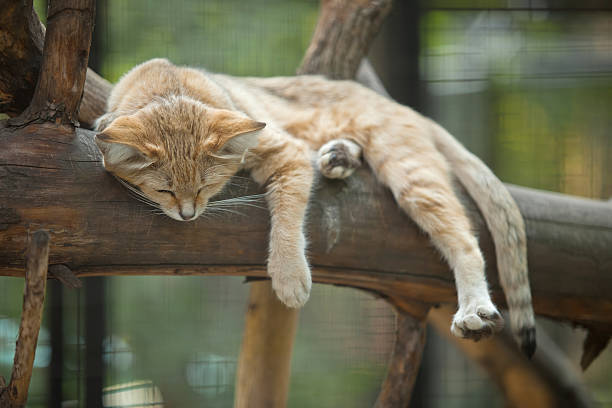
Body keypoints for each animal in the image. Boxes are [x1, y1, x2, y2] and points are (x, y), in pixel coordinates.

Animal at [94, 57, 536, 354]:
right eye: (165, 191)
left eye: (207, 186)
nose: (188, 214)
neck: (167, 82)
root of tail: (400, 106)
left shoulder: (284, 150)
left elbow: (289, 218)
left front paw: (289, 276)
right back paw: (339, 155)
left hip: (413, 175)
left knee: (466, 242)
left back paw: (475, 308)